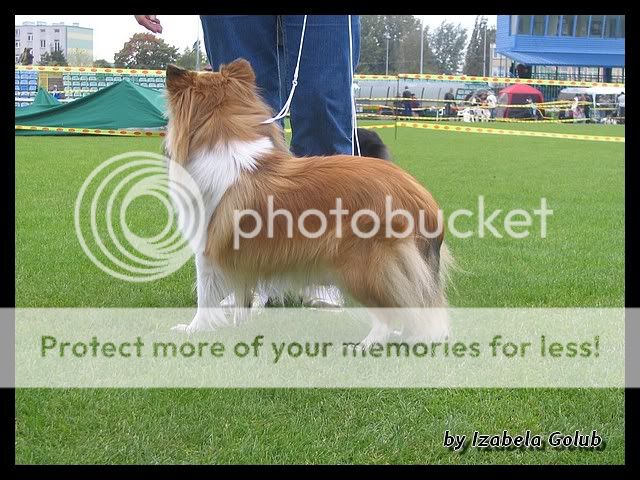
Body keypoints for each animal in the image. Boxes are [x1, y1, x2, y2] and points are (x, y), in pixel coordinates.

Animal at [165, 60, 450, 346]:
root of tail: (423, 199)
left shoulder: (207, 250)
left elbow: (205, 296)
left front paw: (193, 329)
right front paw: (240, 321)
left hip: (364, 266)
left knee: (389, 314)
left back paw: (366, 345)